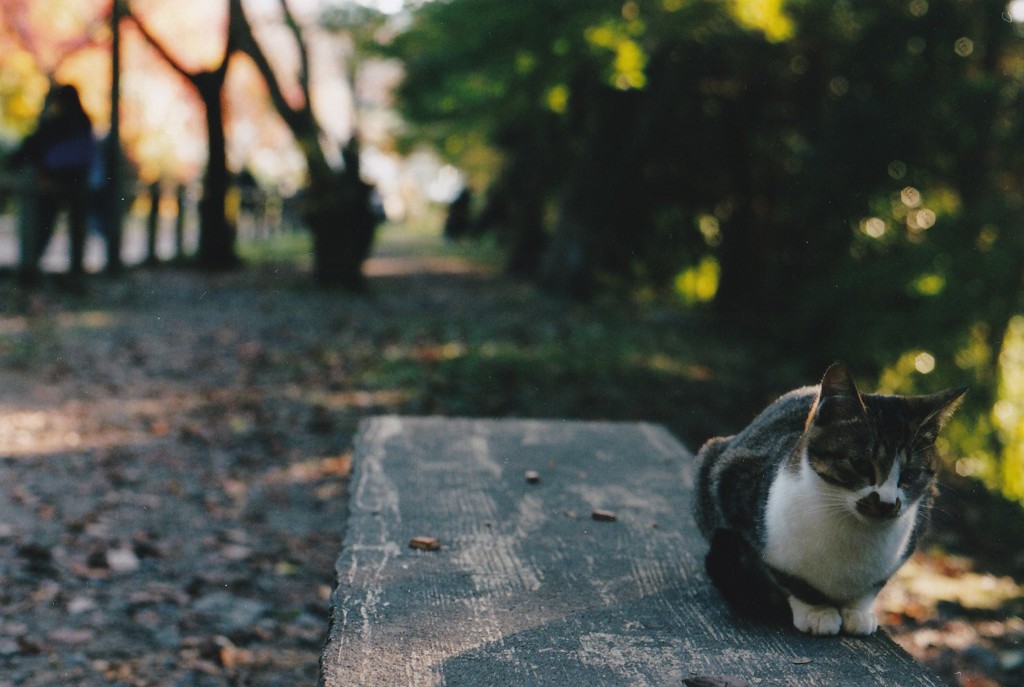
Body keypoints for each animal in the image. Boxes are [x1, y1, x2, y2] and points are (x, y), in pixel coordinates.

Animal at [692, 362, 962, 638]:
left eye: (909, 475)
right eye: (861, 464)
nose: (886, 503)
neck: (852, 533)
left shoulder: (913, 534)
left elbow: (872, 586)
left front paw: (857, 611)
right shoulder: (732, 487)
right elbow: (788, 577)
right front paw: (817, 611)